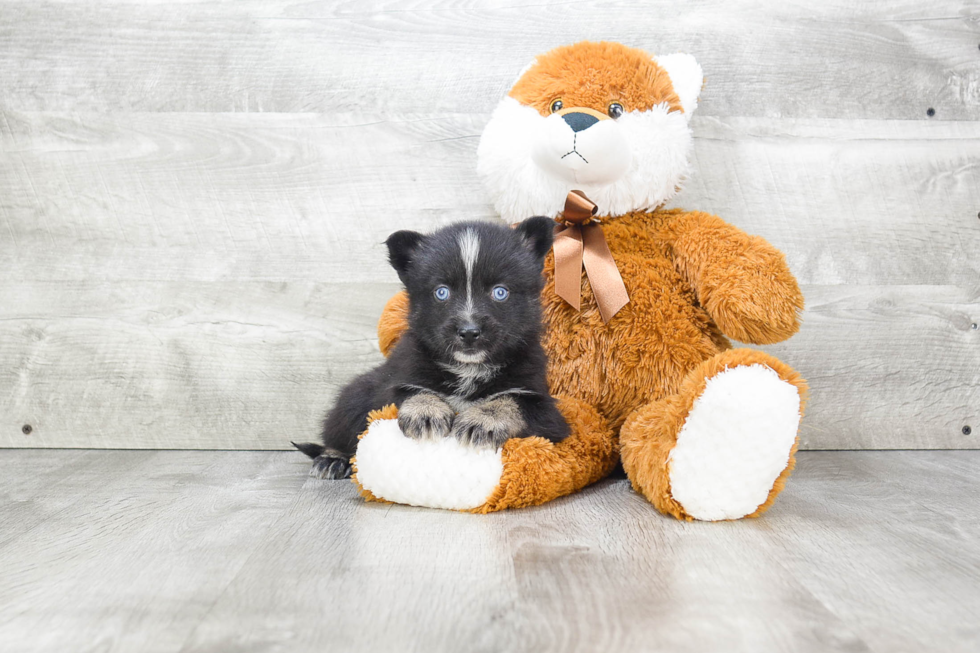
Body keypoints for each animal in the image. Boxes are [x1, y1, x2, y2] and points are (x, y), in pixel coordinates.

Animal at [292, 216, 568, 476]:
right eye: (441, 292)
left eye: (500, 292)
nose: (469, 332)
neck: (468, 369)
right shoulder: (394, 383)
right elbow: (408, 392)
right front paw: (425, 411)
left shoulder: (545, 409)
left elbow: (514, 401)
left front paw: (484, 420)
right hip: (357, 394)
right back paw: (332, 458)